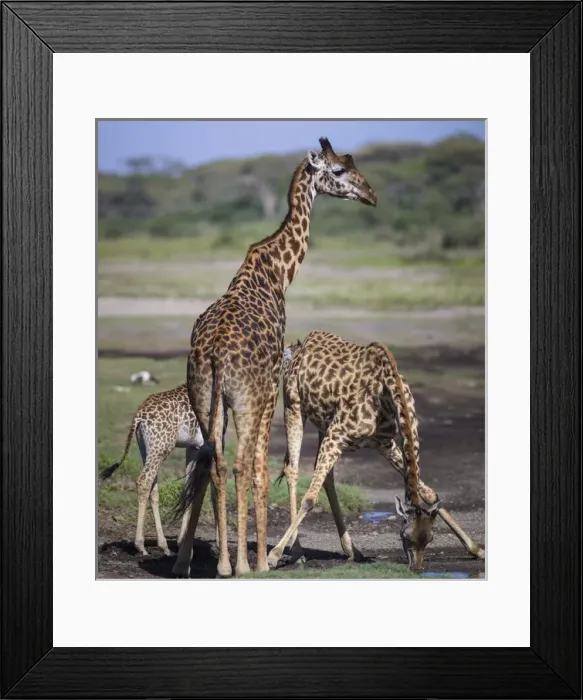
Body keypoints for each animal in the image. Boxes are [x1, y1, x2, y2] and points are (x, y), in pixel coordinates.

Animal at [99, 383, 219, 557]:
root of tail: (139, 416)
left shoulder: (193, 447)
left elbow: (188, 487)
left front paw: (183, 543)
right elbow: (214, 491)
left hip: (146, 449)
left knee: (153, 487)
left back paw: (164, 547)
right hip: (161, 448)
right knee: (144, 481)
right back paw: (141, 546)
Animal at [172, 138, 377, 578]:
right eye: (338, 170)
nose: (371, 194)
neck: (278, 272)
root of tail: (216, 355)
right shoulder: (268, 393)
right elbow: (263, 471)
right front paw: (267, 558)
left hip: (205, 399)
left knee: (214, 464)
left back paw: (214, 563)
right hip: (246, 401)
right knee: (239, 466)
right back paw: (242, 565)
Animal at [269, 332, 485, 571]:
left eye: (430, 539)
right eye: (406, 536)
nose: (416, 568)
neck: (388, 391)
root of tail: (295, 348)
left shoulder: (384, 443)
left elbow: (429, 493)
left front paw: (477, 549)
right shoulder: (337, 435)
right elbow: (309, 499)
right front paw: (273, 555)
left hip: (323, 425)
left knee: (325, 475)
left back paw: (353, 550)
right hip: (294, 406)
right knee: (292, 469)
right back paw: (296, 552)